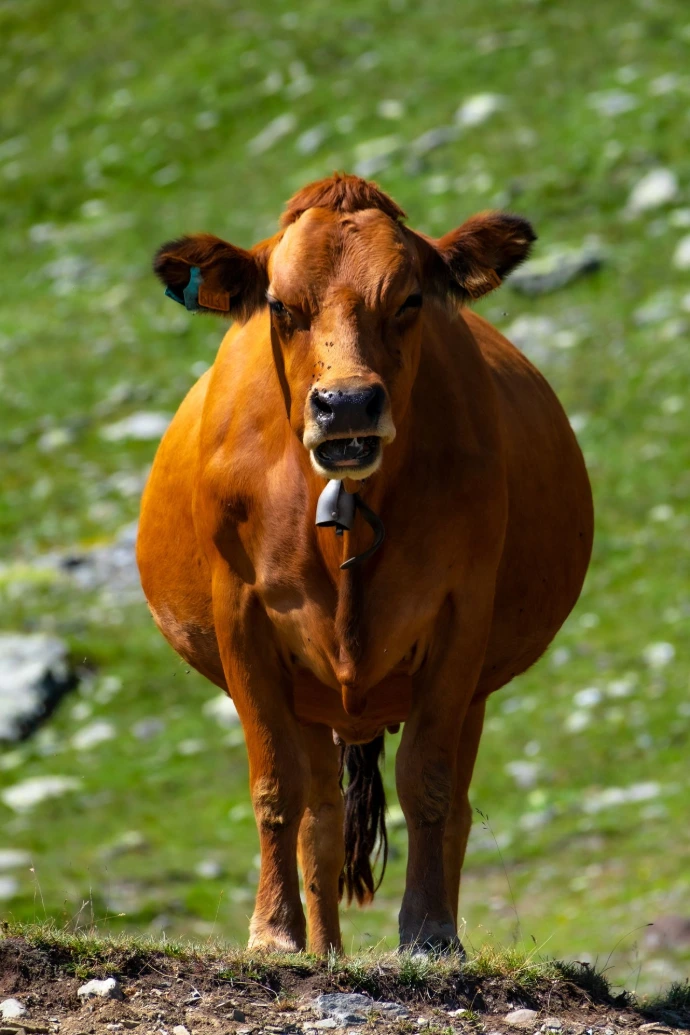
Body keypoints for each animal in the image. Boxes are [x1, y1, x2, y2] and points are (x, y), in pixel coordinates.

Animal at [137, 173, 593, 955]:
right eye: (281, 307)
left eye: (409, 300)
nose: (346, 403)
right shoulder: (242, 618)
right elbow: (275, 787)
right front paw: (273, 933)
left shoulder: (460, 616)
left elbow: (428, 782)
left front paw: (431, 933)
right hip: (311, 694)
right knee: (319, 816)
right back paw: (323, 948)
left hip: (469, 685)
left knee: (453, 806)